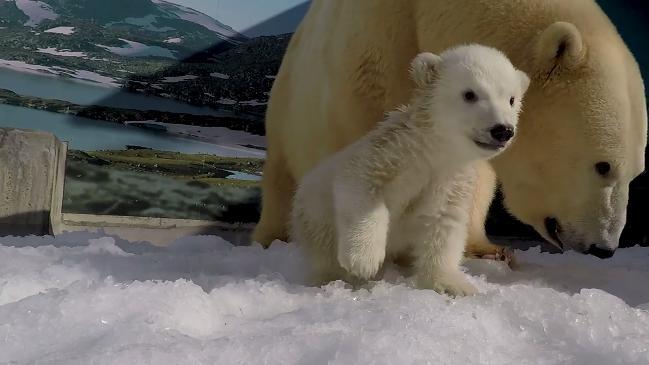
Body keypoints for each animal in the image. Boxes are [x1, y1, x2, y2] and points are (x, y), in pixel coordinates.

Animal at [256, 0, 644, 258]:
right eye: (603, 166)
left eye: (637, 174)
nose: (604, 247)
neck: (429, 14)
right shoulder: (374, 60)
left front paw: (482, 248)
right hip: (285, 109)